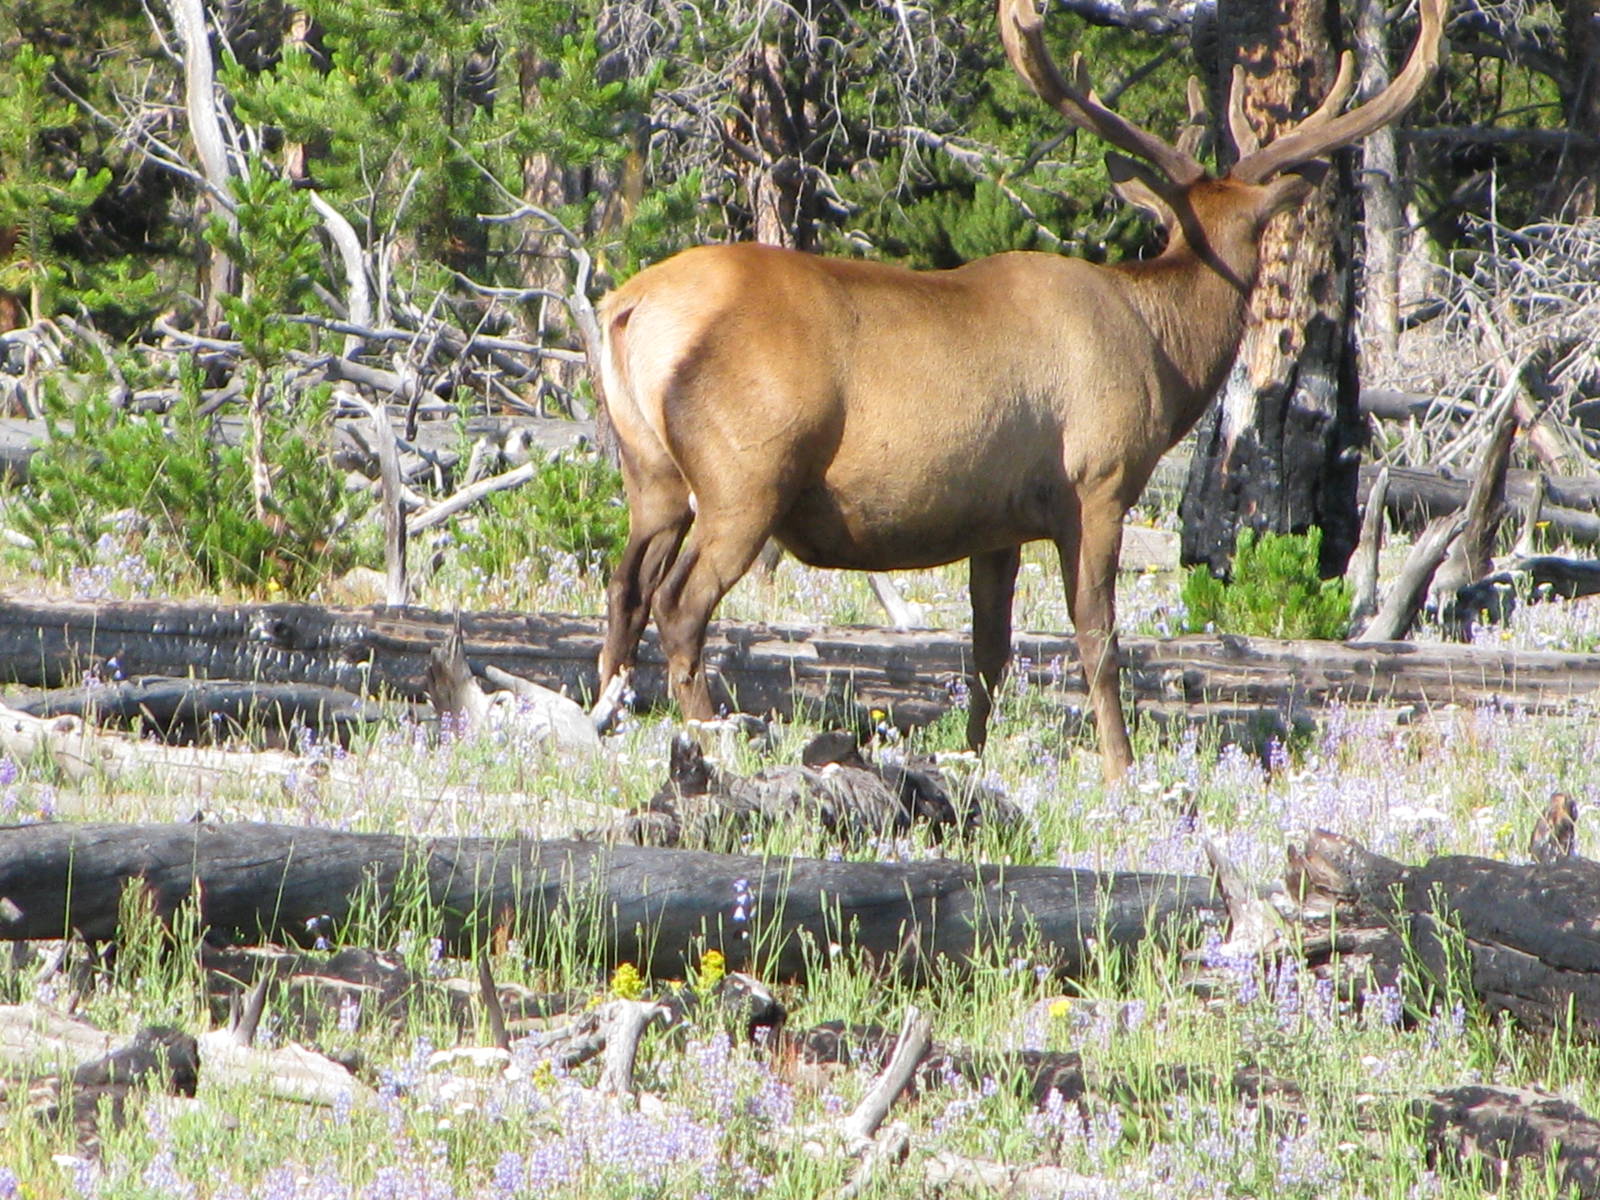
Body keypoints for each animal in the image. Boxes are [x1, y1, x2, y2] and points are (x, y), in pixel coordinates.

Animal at [592, 0, 1445, 782]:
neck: (1164, 351)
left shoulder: (994, 520)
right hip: (746, 476)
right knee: (679, 605)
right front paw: (1120, 766)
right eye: (1261, 232)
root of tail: (625, 307)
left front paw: (970, 757)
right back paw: (711, 739)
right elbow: (1098, 638)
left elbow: (988, 652)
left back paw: (609, 723)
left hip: (652, 474)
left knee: (624, 588)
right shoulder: (1098, 481)